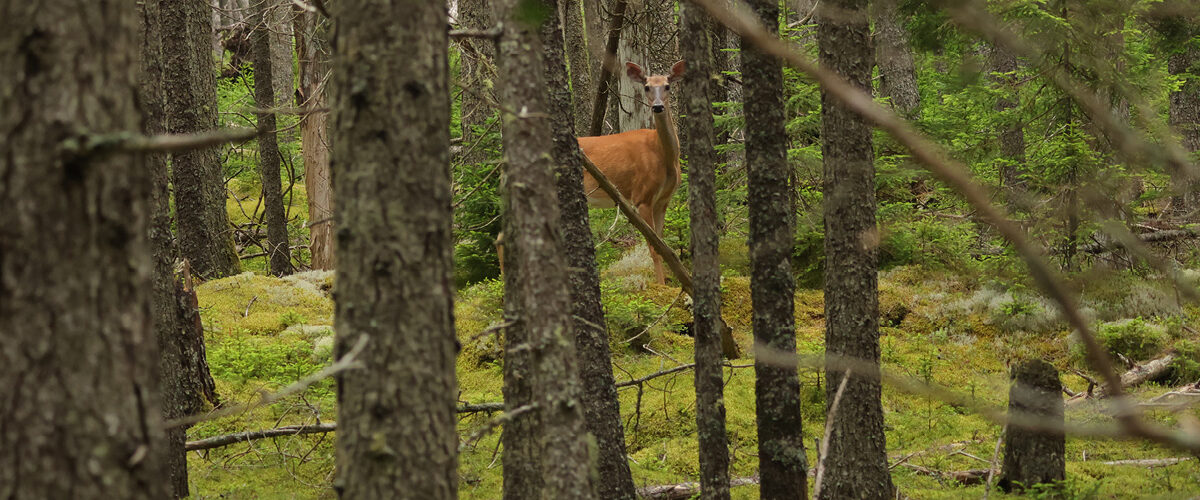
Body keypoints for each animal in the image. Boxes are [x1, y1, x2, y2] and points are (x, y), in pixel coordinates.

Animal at [496, 60, 685, 285]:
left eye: (667, 86)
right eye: (647, 87)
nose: (657, 106)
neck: (662, 154)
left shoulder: (663, 200)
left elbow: (665, 247)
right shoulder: (642, 196)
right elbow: (655, 249)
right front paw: (661, 285)